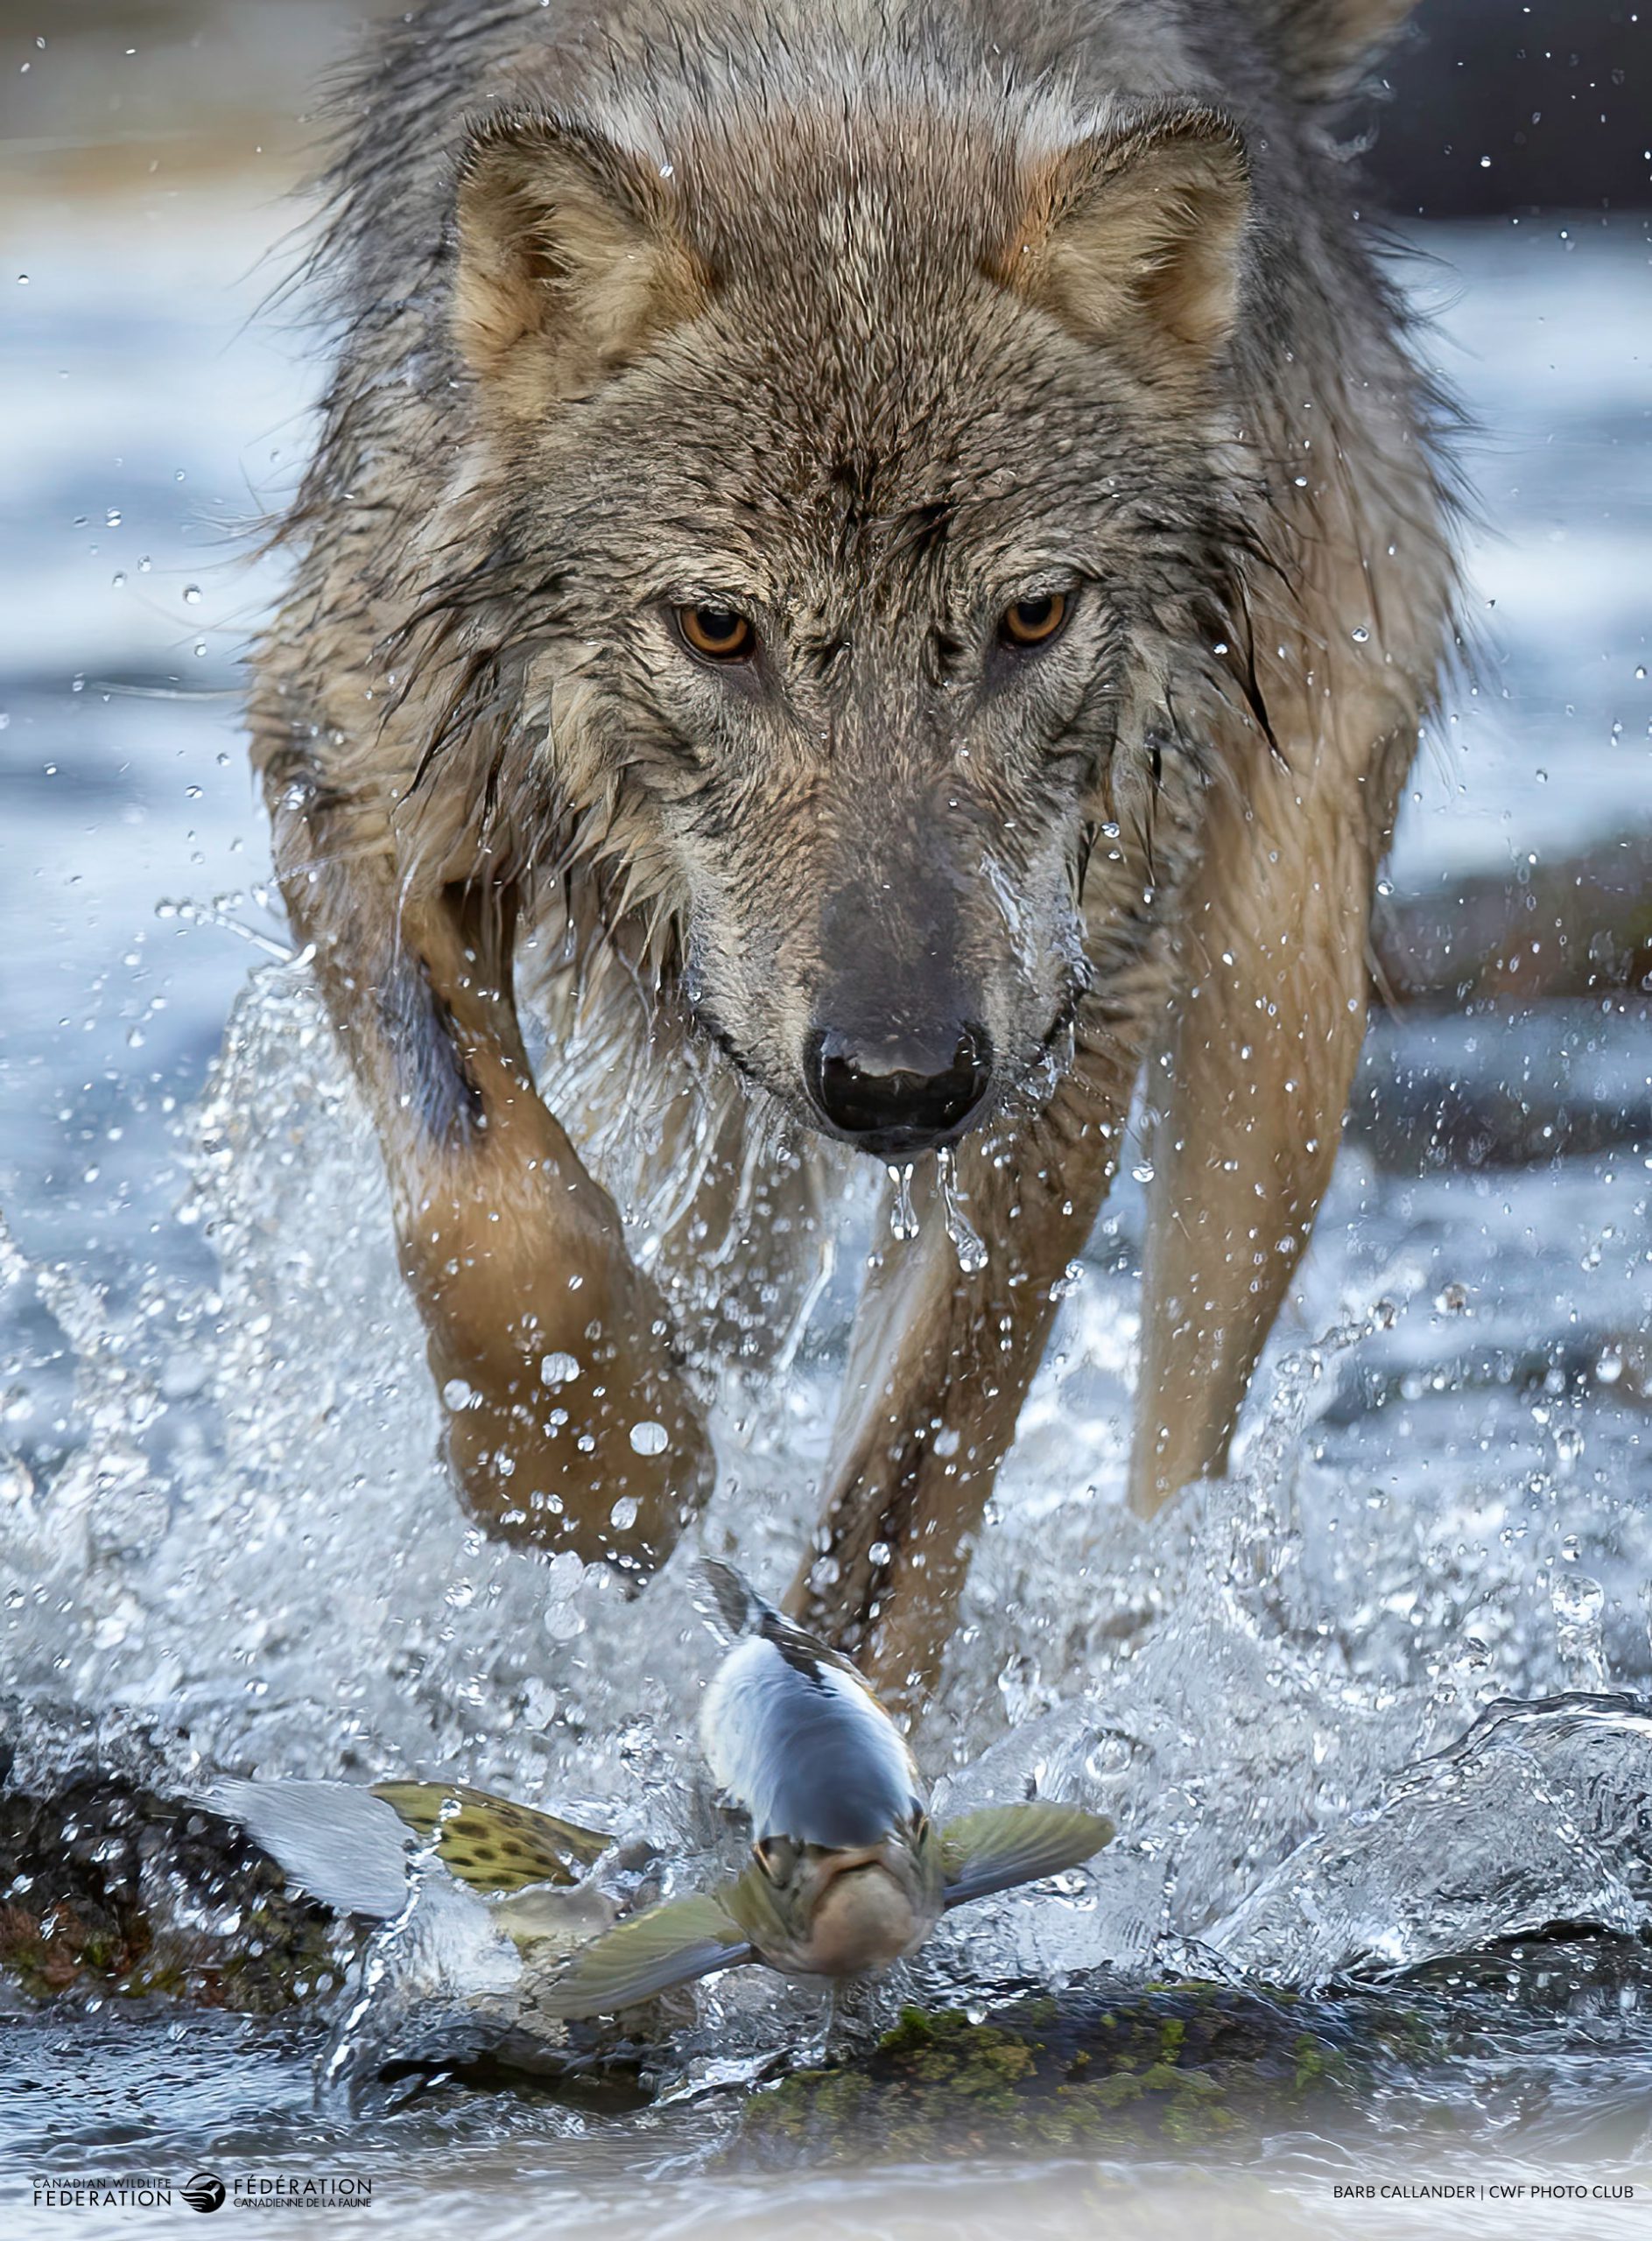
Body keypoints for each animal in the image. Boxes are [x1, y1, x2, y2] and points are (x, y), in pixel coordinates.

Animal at [250, 0, 1452, 1685]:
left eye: (1032, 618)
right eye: (717, 629)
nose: (897, 1080)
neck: (843, 87)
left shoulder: (1066, 1010)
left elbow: (902, 1497)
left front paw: (829, 1713)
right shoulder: (349, 751)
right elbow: (488, 1196)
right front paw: (590, 1471)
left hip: (1271, 1009)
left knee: (1181, 1443)